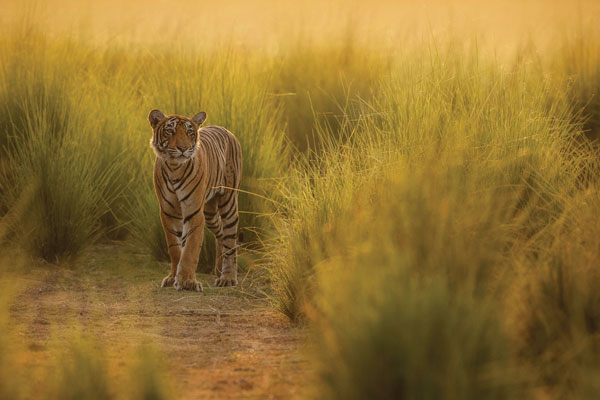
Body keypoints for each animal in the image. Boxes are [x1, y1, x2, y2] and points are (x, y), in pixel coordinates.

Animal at [148, 109, 241, 290]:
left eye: (189, 132)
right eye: (170, 131)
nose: (183, 148)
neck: (174, 168)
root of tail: (226, 130)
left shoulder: (193, 211)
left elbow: (190, 248)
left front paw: (187, 282)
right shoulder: (168, 213)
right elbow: (175, 248)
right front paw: (173, 278)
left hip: (228, 202)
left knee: (230, 240)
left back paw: (227, 277)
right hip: (210, 212)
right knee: (220, 233)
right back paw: (218, 270)